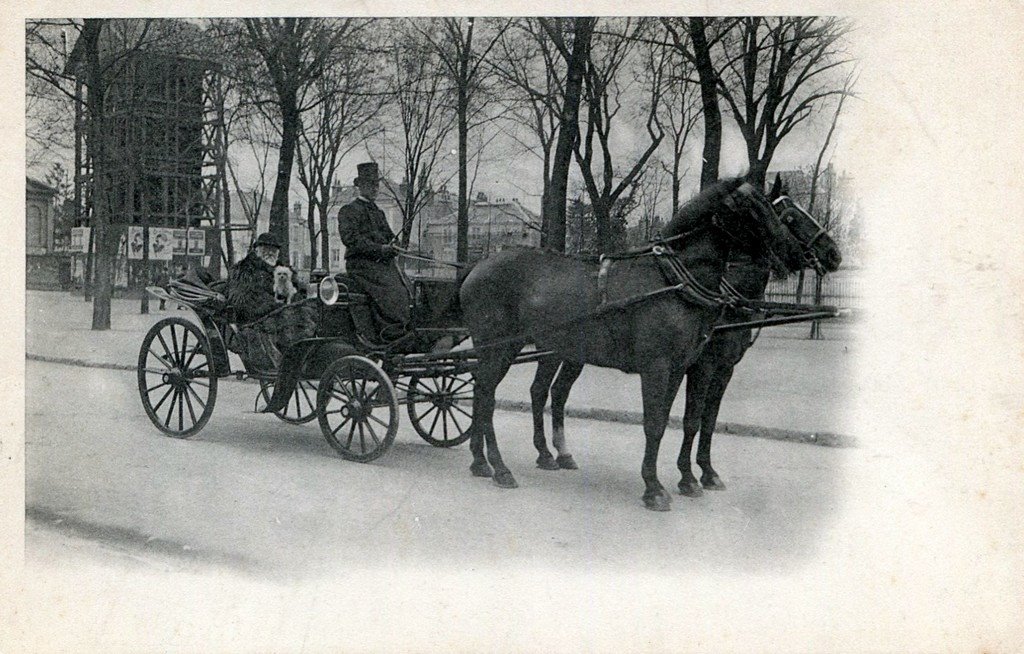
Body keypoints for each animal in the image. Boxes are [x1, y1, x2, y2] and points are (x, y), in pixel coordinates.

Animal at [460, 178, 811, 511]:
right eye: (754, 208)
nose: (794, 253)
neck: (672, 281)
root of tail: (477, 267)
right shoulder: (660, 368)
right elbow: (655, 424)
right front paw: (654, 488)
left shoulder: (680, 369)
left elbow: (677, 421)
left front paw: (684, 480)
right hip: (499, 349)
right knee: (488, 397)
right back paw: (500, 467)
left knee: (489, 393)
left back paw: (482, 461)